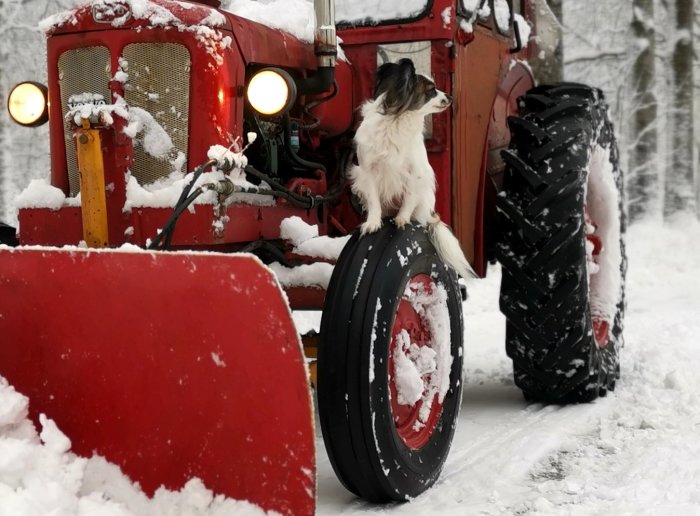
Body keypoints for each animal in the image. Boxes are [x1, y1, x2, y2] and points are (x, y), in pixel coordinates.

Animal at [350, 57, 476, 278]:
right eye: (432, 90)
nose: (450, 97)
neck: (398, 119)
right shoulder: (368, 172)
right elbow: (374, 201)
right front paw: (373, 223)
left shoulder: (415, 174)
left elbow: (408, 199)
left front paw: (402, 219)